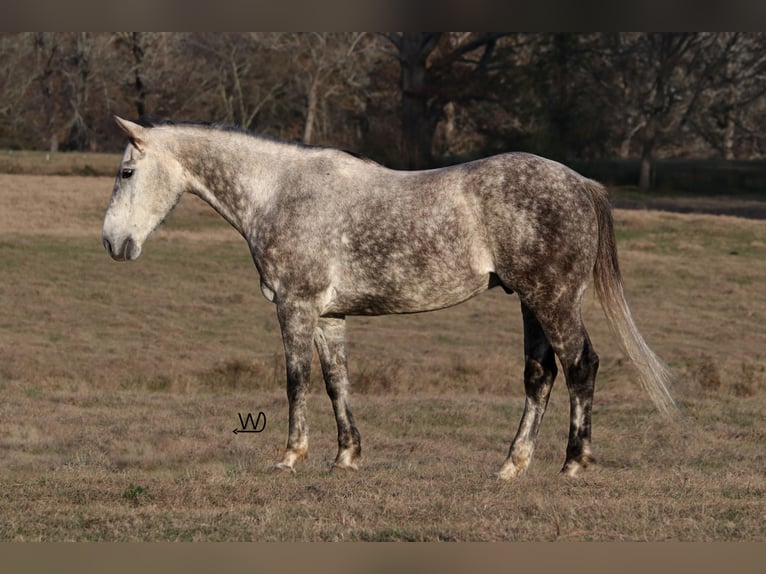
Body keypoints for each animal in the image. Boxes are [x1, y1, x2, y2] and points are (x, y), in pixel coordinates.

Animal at [102, 115, 680, 480]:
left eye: (127, 172)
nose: (112, 242)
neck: (279, 192)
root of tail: (581, 183)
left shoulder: (294, 305)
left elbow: (296, 381)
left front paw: (290, 457)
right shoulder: (329, 316)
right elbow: (336, 382)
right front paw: (346, 457)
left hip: (554, 299)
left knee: (582, 365)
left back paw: (574, 462)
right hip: (532, 302)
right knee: (541, 375)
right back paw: (511, 465)